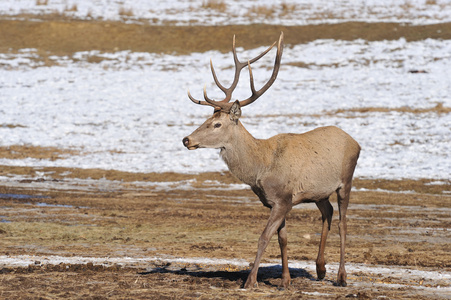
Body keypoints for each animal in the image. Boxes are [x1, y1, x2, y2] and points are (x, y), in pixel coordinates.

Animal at [182, 32, 362, 288]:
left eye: (216, 124)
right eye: (205, 119)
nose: (186, 139)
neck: (261, 168)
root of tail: (355, 141)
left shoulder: (284, 199)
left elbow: (264, 237)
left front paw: (250, 281)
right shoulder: (275, 201)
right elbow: (282, 239)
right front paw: (285, 280)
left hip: (346, 179)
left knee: (343, 223)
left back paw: (341, 276)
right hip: (319, 192)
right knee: (327, 213)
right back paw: (320, 269)